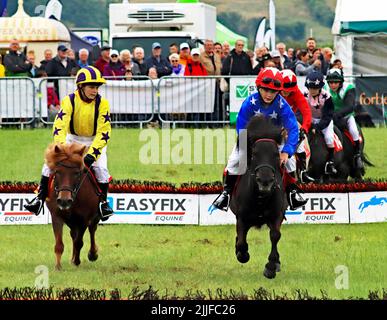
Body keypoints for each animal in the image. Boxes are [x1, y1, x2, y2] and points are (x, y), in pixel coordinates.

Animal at [230, 115, 284, 278]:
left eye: (276, 154)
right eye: (255, 154)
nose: (265, 180)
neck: (261, 197)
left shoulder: (277, 215)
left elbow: (275, 235)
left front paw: (271, 266)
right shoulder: (242, 218)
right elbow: (241, 241)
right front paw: (243, 254)